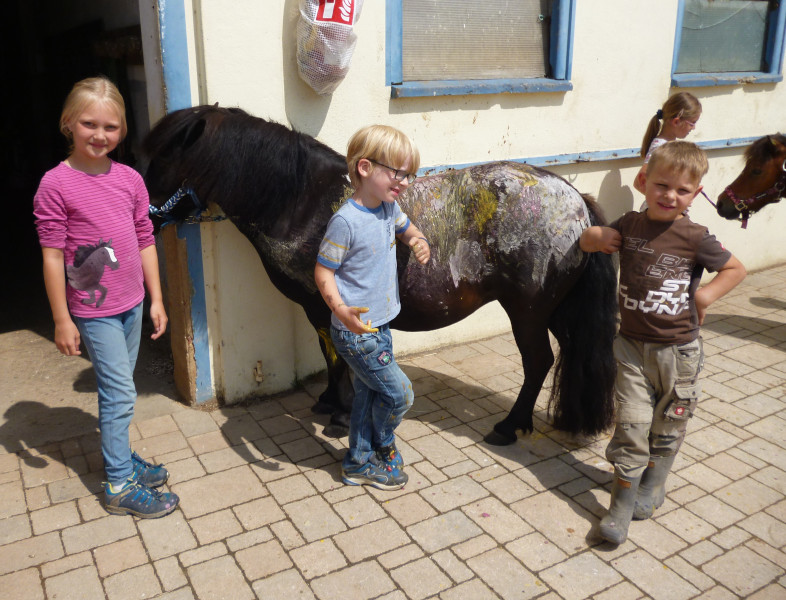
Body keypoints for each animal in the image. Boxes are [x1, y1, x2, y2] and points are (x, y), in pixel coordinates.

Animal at [141, 104, 620, 446]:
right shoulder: (320, 309)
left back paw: (508, 427)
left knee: (538, 362)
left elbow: (336, 357)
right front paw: (328, 402)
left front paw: (339, 413)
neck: (301, 200)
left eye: (163, 157)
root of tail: (576, 201)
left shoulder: (323, 306)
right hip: (556, 310)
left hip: (527, 312)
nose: (142, 217)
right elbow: (328, 355)